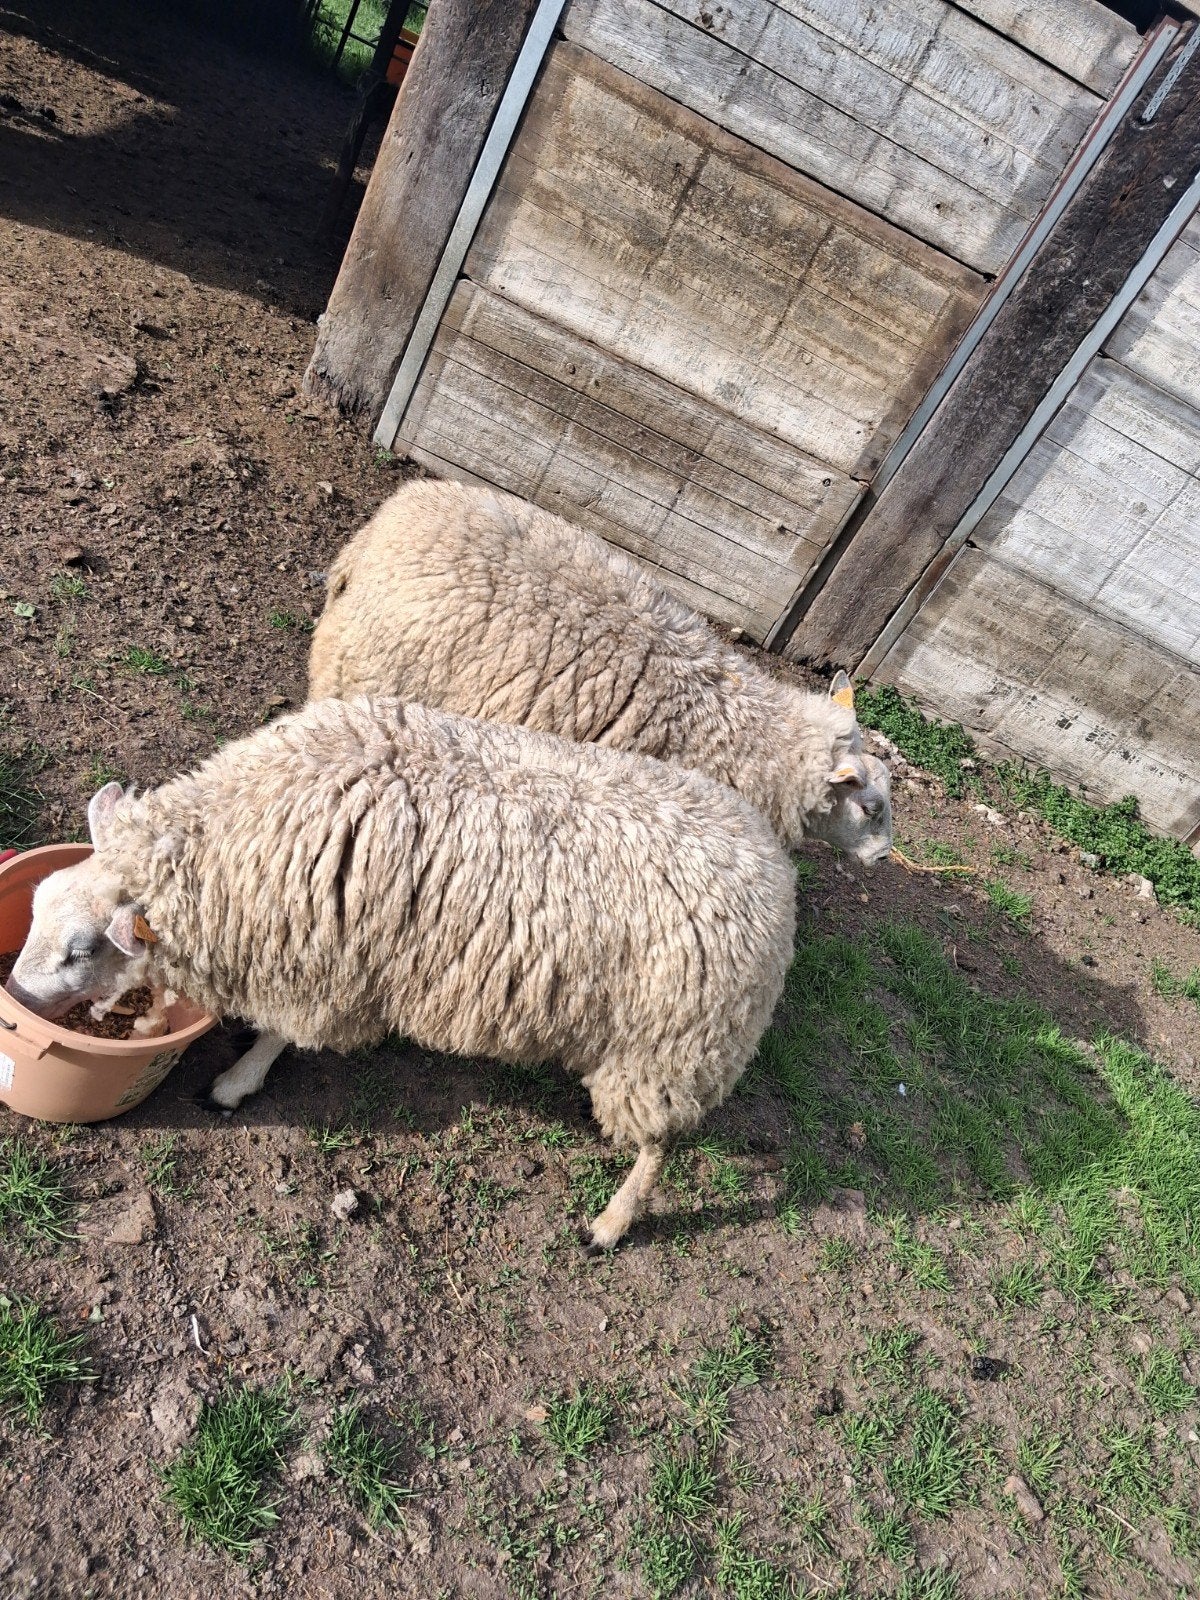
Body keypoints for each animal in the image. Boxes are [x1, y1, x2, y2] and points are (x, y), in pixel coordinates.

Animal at [6, 696, 795, 1251]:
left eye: (82, 950)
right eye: (37, 908)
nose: (14, 996)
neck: (236, 835)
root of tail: (776, 874)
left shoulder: (319, 961)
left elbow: (282, 1034)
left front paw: (237, 1082)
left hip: (674, 1045)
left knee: (662, 1144)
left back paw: (610, 1223)